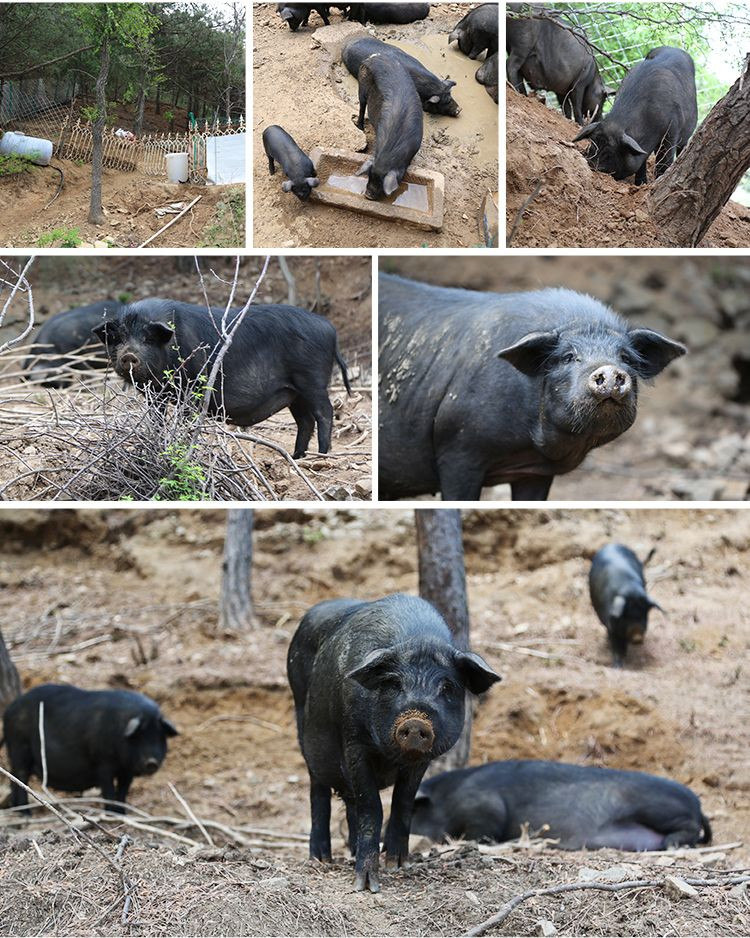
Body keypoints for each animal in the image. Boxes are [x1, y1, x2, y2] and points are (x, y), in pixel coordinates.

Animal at [94, 300, 352, 458]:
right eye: (119, 337)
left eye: (148, 338)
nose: (129, 355)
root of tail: (331, 329)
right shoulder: (156, 394)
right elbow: (156, 419)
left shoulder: (193, 386)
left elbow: (185, 418)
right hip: (294, 393)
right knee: (305, 420)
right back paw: (297, 457)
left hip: (312, 379)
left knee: (324, 412)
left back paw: (321, 455)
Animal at [356, 53, 426, 199]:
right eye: (370, 175)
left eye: (381, 182)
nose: (367, 195)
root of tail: (375, 56)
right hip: (362, 84)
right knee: (361, 106)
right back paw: (360, 127)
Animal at [412, 760, 712, 848]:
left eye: (411, 813)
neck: (445, 800)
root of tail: (699, 806)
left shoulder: (485, 806)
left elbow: (484, 831)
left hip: (659, 806)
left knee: (689, 827)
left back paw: (672, 843)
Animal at [576, 46, 700, 186]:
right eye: (592, 145)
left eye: (609, 154)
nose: (591, 166)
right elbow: (642, 161)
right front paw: (640, 184)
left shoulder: (672, 130)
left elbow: (664, 159)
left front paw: (657, 180)